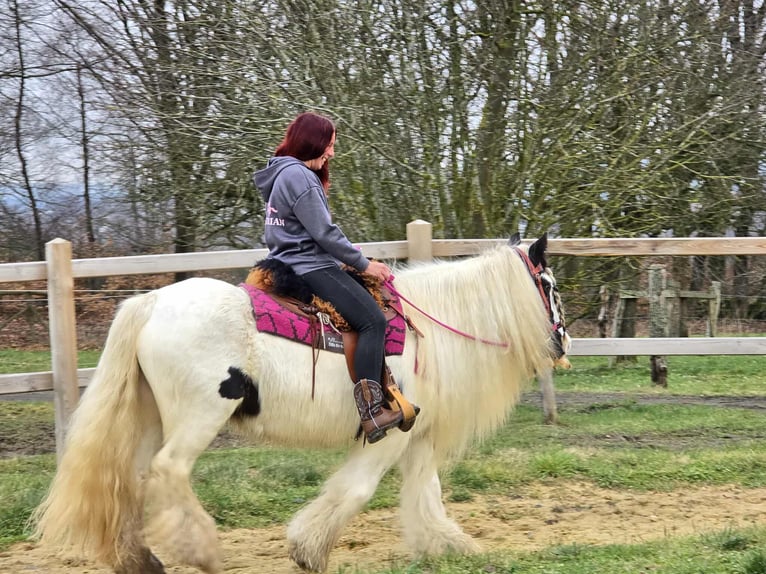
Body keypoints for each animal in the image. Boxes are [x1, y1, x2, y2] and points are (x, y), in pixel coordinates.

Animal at [31, 233, 570, 574]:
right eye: (549, 285)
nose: (564, 341)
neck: (430, 330)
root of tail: (150, 303)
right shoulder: (388, 434)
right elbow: (356, 490)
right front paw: (308, 550)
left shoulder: (417, 436)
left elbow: (425, 492)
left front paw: (449, 546)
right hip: (198, 416)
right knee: (169, 471)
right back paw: (201, 551)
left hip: (150, 417)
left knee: (133, 478)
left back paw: (141, 560)